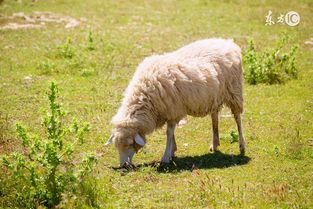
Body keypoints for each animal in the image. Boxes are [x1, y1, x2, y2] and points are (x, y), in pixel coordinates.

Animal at [106, 38, 245, 167]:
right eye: (117, 146)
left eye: (130, 144)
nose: (124, 165)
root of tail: (228, 42)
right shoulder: (169, 111)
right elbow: (171, 133)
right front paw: (172, 151)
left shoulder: (173, 110)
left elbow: (169, 133)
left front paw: (166, 156)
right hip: (214, 96)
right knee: (214, 117)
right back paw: (215, 144)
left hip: (234, 91)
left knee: (237, 118)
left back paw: (242, 146)